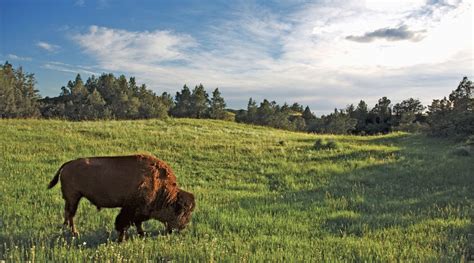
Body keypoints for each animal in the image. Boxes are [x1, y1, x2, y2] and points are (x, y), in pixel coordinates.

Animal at [47, 155, 195, 243]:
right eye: (184, 212)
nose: (183, 227)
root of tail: (68, 164)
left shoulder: (137, 211)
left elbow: (137, 223)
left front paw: (141, 234)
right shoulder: (130, 209)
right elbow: (123, 224)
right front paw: (121, 239)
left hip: (72, 199)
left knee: (68, 213)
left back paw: (67, 229)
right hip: (74, 198)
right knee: (71, 214)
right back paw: (75, 233)